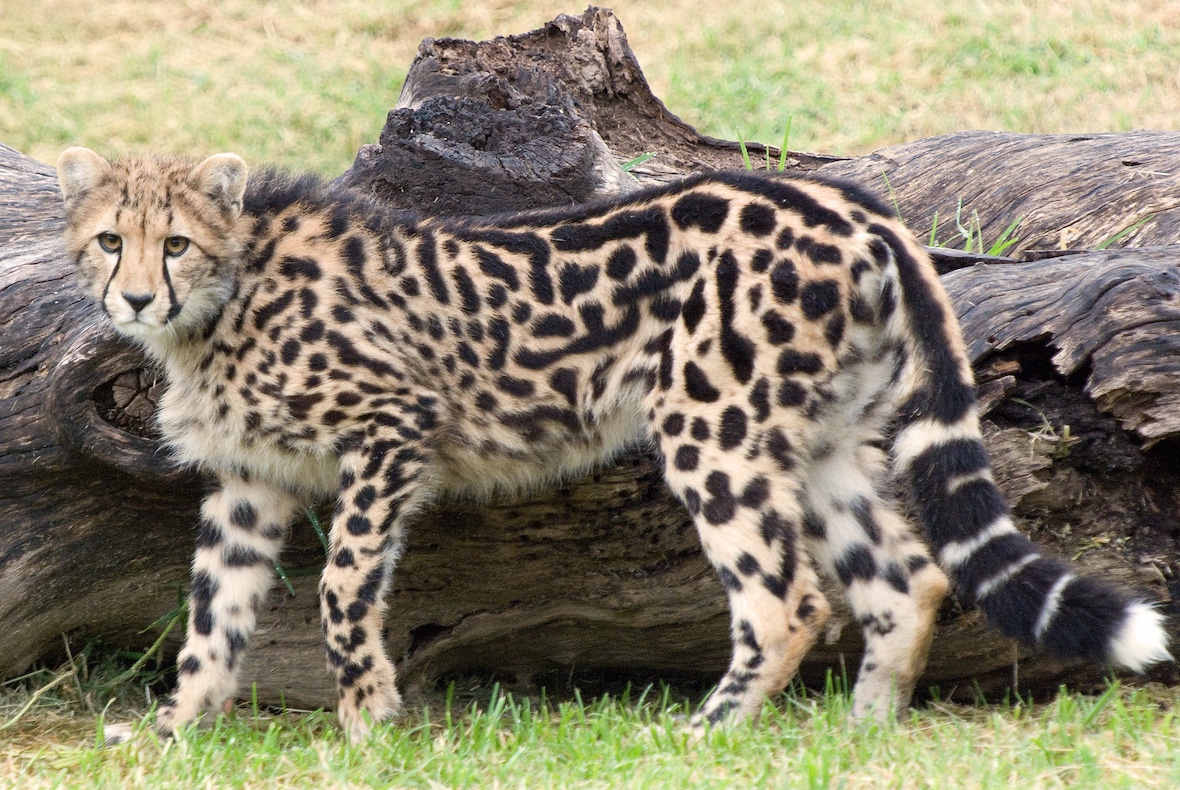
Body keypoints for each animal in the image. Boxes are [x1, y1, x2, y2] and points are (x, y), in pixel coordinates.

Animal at [56, 146, 1170, 743]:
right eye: (111, 239)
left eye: (176, 242)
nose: (136, 296)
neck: (229, 291)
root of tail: (841, 200)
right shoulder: (247, 483)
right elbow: (211, 619)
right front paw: (170, 732)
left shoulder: (393, 430)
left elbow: (341, 590)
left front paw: (368, 727)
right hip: (820, 442)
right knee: (907, 579)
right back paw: (862, 735)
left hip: (711, 428)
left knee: (788, 598)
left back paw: (709, 735)